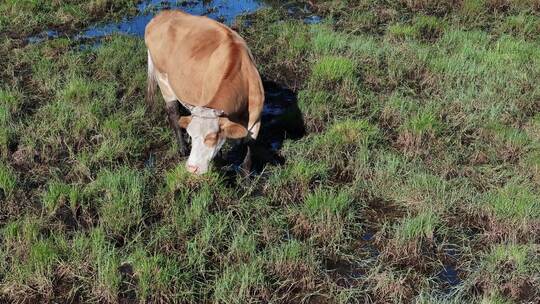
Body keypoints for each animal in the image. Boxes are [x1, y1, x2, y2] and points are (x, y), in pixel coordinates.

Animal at [144, 10, 264, 173]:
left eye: (211, 137)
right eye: (191, 134)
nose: (191, 168)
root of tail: (161, 15)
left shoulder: (255, 122)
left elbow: (247, 153)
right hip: (162, 78)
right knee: (173, 112)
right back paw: (182, 149)